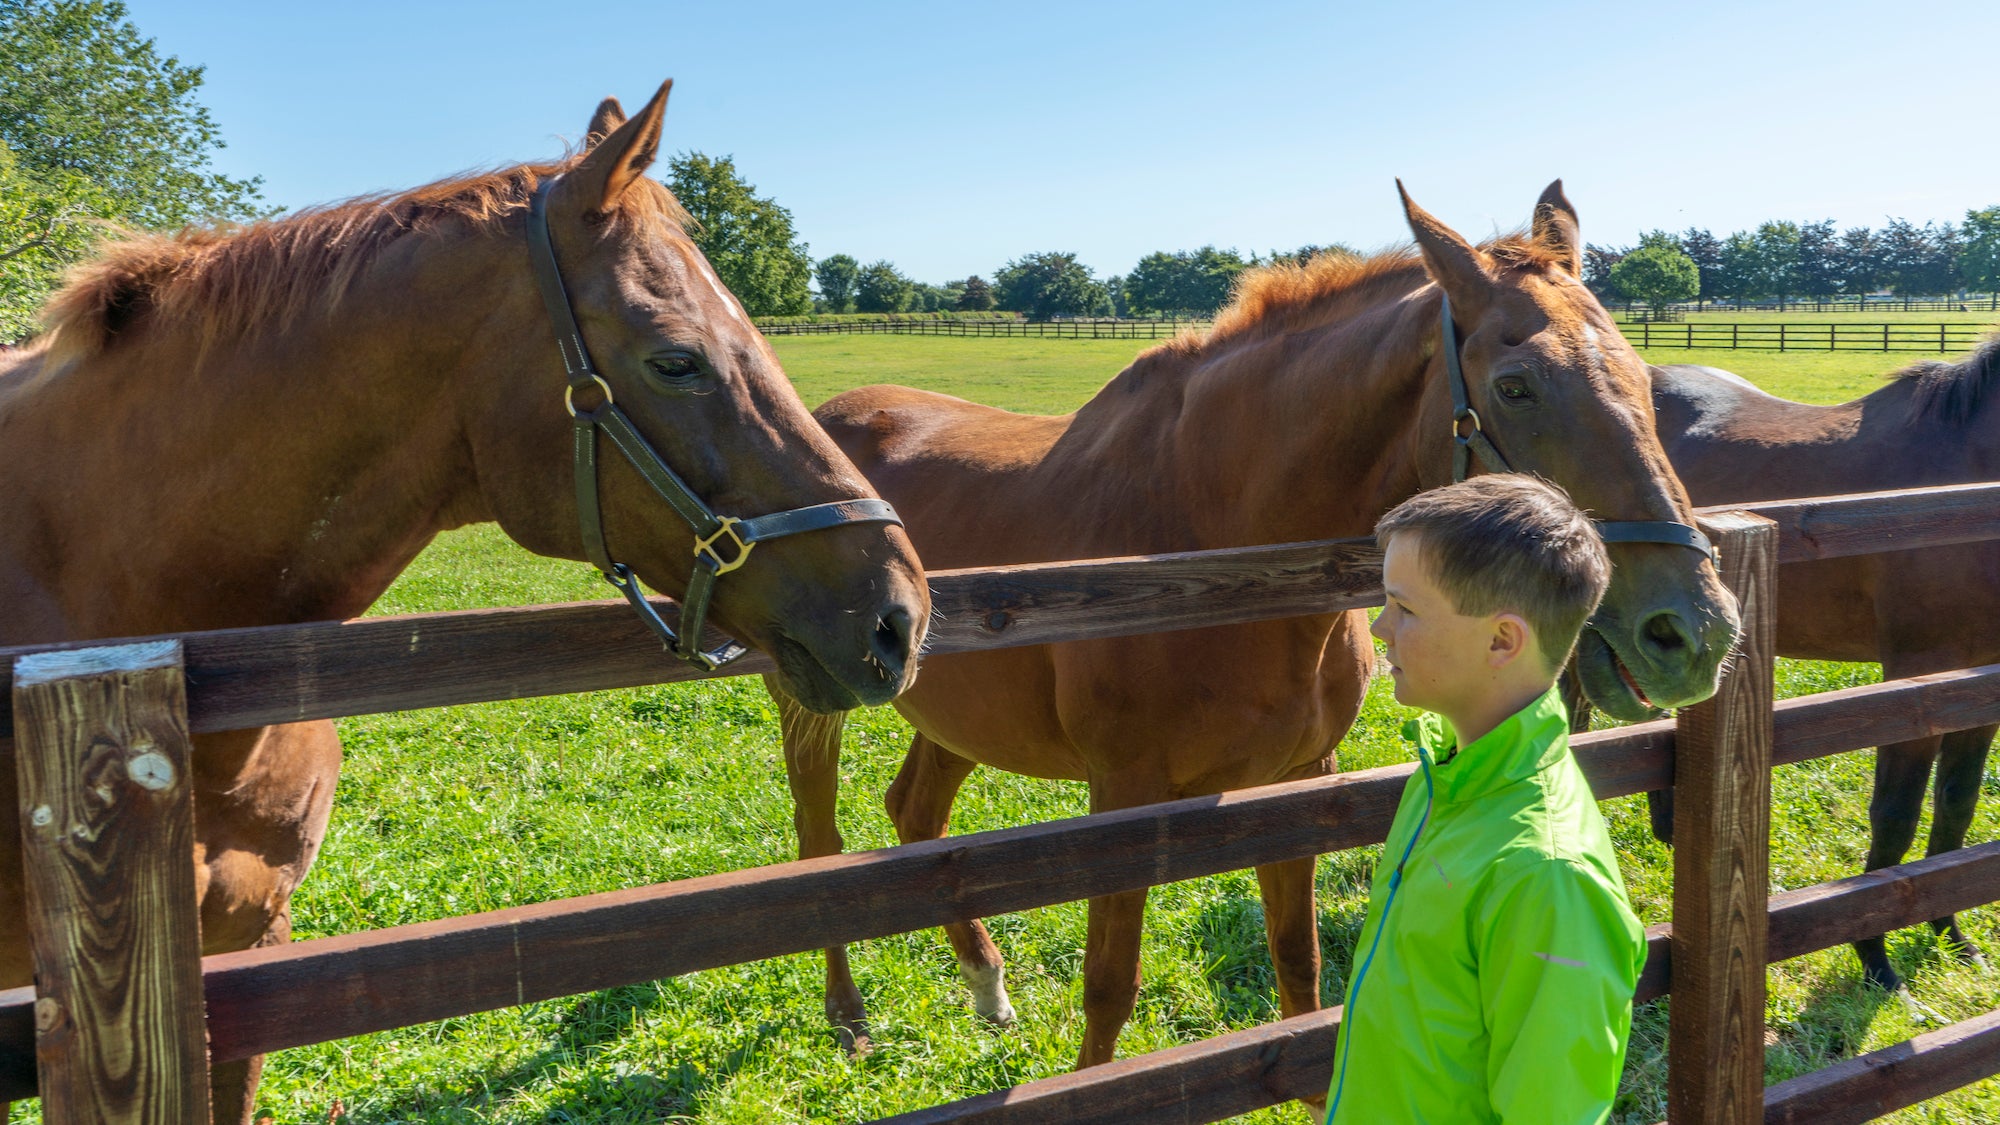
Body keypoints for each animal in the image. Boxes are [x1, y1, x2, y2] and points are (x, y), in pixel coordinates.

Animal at [764, 182, 1740, 1081]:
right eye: (1516, 385)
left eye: (1643, 381)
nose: (1692, 628)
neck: (1209, 548)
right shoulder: (1122, 799)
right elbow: (1109, 986)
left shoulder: (1298, 783)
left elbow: (1298, 966)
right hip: (811, 705)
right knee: (820, 845)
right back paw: (849, 1016)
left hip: (956, 716)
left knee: (915, 814)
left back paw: (987, 988)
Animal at [1637, 345, 2000, 997]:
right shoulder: (1916, 677)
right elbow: (1895, 815)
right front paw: (1875, 957)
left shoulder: (1979, 681)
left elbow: (1956, 806)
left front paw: (1951, 936)